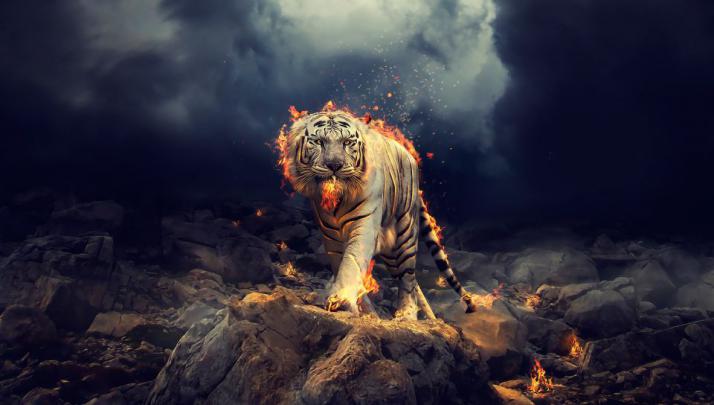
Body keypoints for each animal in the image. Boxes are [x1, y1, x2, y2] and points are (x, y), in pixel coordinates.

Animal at [279, 105, 477, 319]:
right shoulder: (331, 237)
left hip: (404, 237)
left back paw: (407, 314)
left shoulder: (364, 226)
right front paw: (363, 310)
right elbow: (342, 264)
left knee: (407, 277)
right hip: (391, 252)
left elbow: (352, 261)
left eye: (347, 142)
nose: (334, 166)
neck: (336, 200)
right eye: (318, 142)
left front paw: (340, 299)